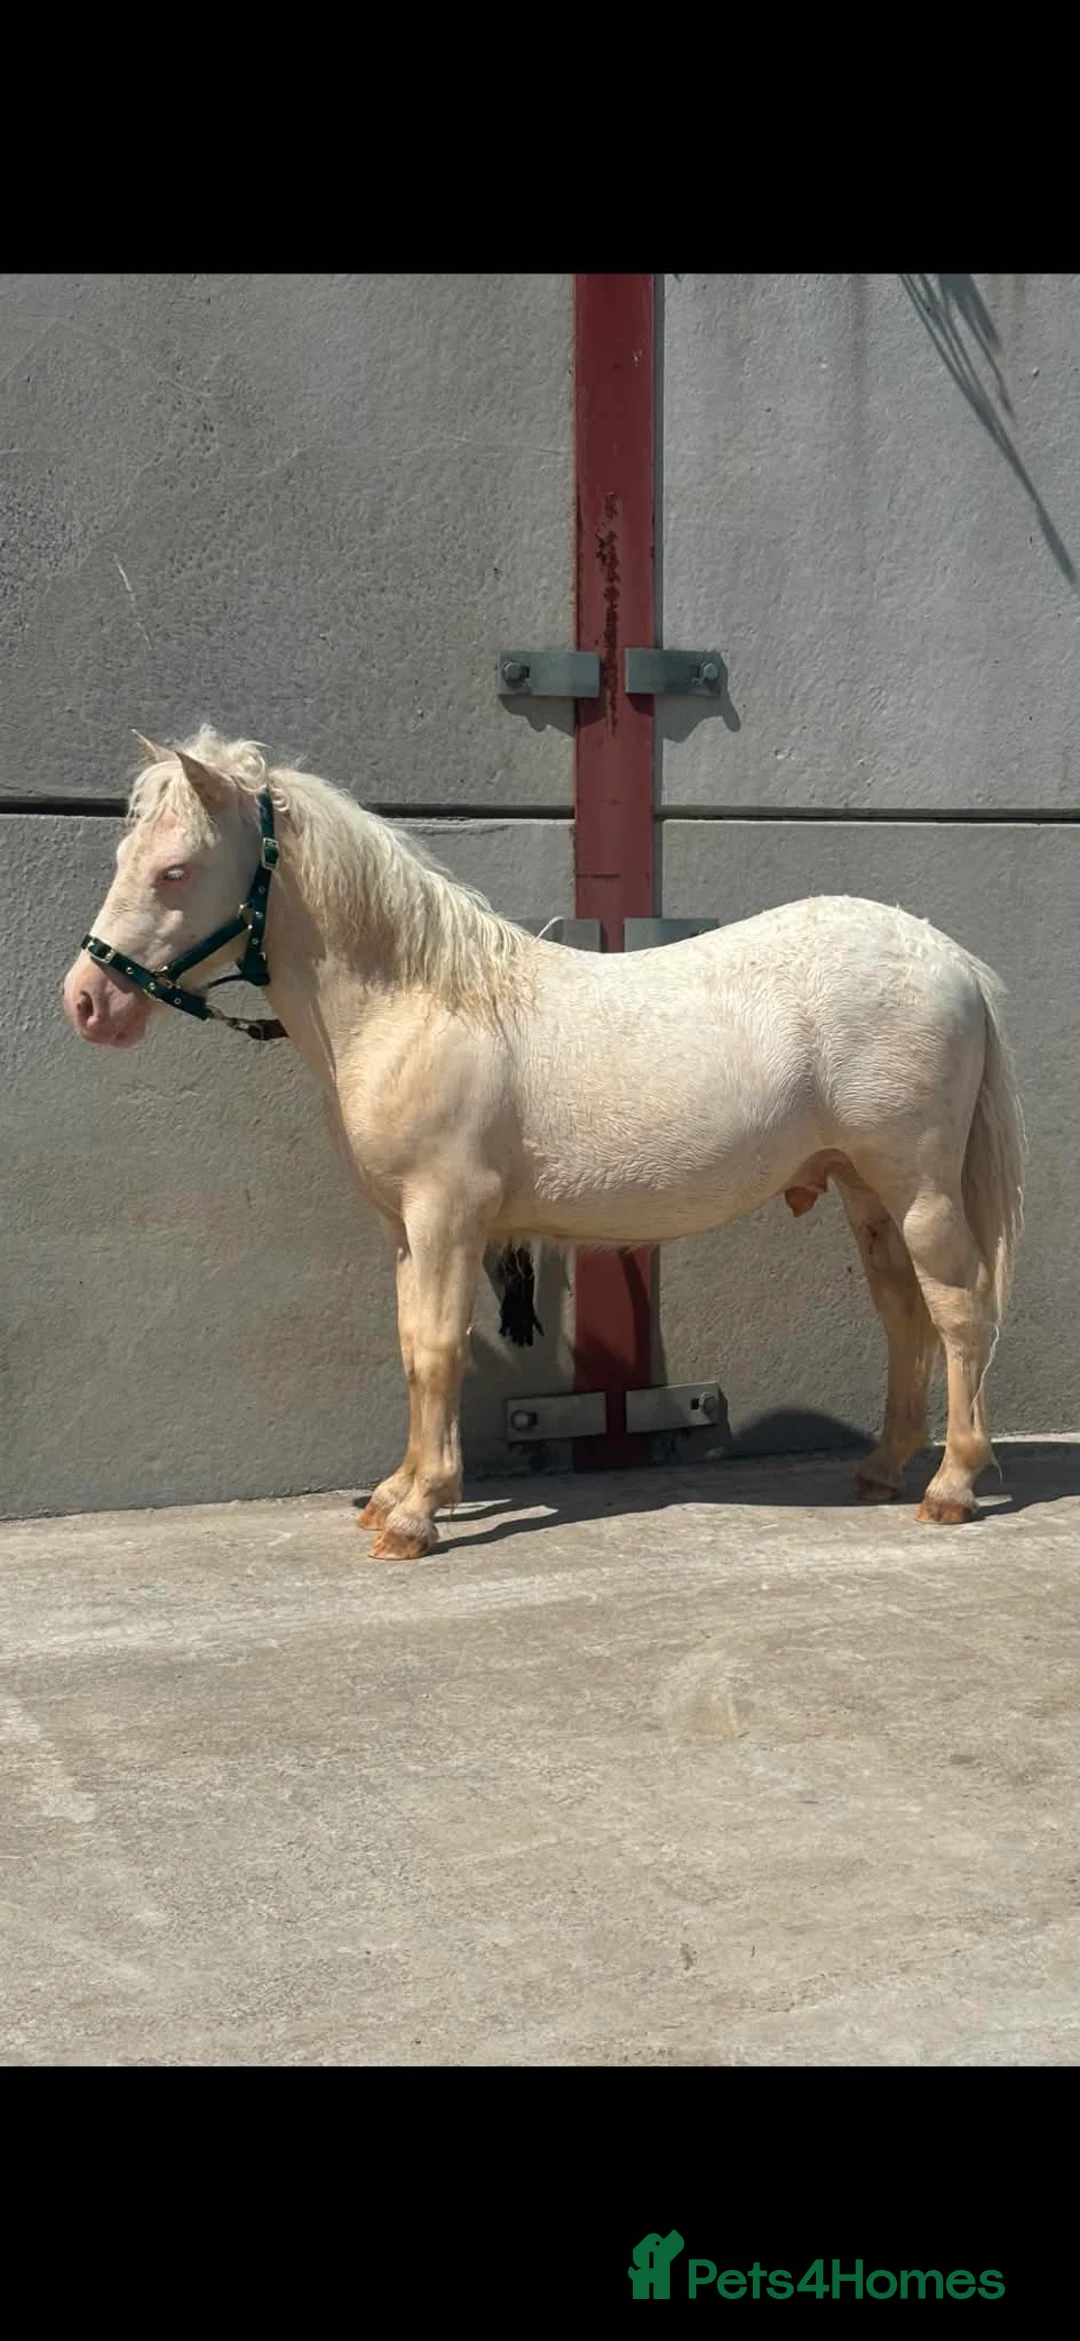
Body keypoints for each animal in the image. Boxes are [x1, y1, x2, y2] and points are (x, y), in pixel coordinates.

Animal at [63, 728, 1026, 1558]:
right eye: (124, 859)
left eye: (175, 869)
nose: (87, 1001)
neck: (419, 999)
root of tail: (951, 960)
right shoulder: (407, 1228)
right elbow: (411, 1346)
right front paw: (398, 1490)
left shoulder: (448, 1214)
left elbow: (438, 1350)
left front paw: (416, 1513)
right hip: (864, 1190)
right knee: (904, 1314)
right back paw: (883, 1467)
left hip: (917, 1187)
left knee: (959, 1311)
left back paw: (951, 1484)